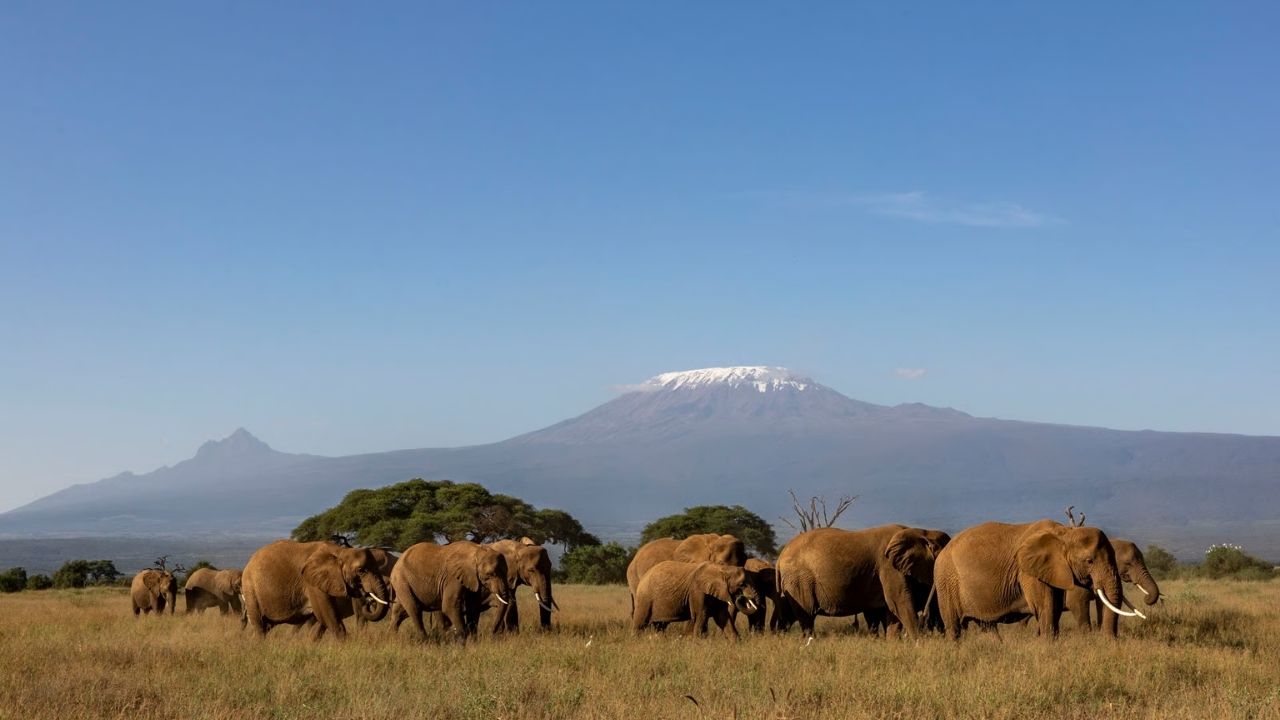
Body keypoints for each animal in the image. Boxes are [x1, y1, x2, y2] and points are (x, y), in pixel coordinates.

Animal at [241, 540, 391, 640]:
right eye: (361, 570)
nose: (368, 600)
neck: (340, 551)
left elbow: (323, 617)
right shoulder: (312, 582)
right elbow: (327, 614)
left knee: (266, 626)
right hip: (250, 589)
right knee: (259, 625)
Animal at [631, 560, 761, 638]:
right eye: (742, 584)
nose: (741, 597)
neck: (722, 569)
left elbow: (723, 617)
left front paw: (736, 643)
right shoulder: (697, 591)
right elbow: (701, 615)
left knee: (660, 626)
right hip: (644, 598)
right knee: (640, 623)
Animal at [776, 524, 945, 638]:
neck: (919, 531)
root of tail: (780, 557)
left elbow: (891, 609)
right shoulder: (888, 566)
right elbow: (899, 601)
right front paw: (919, 643)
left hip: (793, 583)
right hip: (800, 580)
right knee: (807, 616)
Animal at [933, 519, 1141, 640]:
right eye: (1089, 561)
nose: (1110, 640)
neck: (1065, 533)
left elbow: (1054, 609)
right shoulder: (1029, 572)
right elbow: (1046, 607)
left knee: (987, 626)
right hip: (946, 582)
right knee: (954, 628)